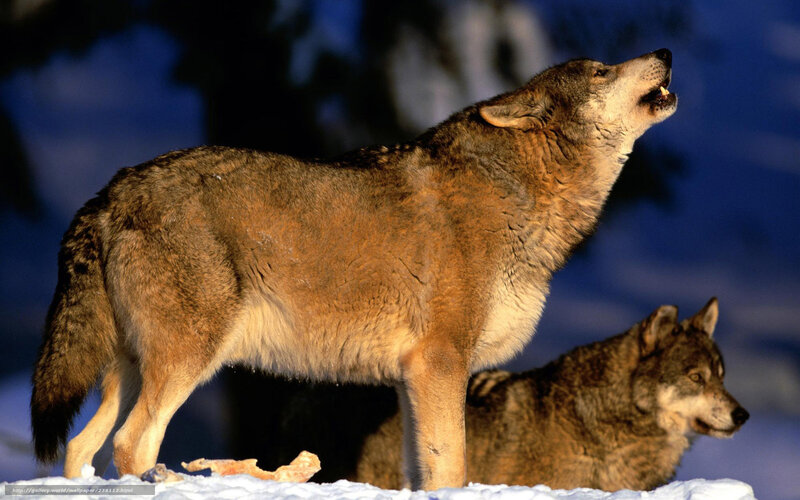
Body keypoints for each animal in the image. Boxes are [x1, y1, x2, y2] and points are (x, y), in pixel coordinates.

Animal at [31, 49, 676, 489]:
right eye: (600, 71)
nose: (666, 53)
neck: (521, 195)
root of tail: (111, 191)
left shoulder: (411, 379)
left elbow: (423, 471)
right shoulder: (441, 363)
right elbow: (453, 468)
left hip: (130, 371)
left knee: (81, 448)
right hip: (186, 363)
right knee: (131, 446)